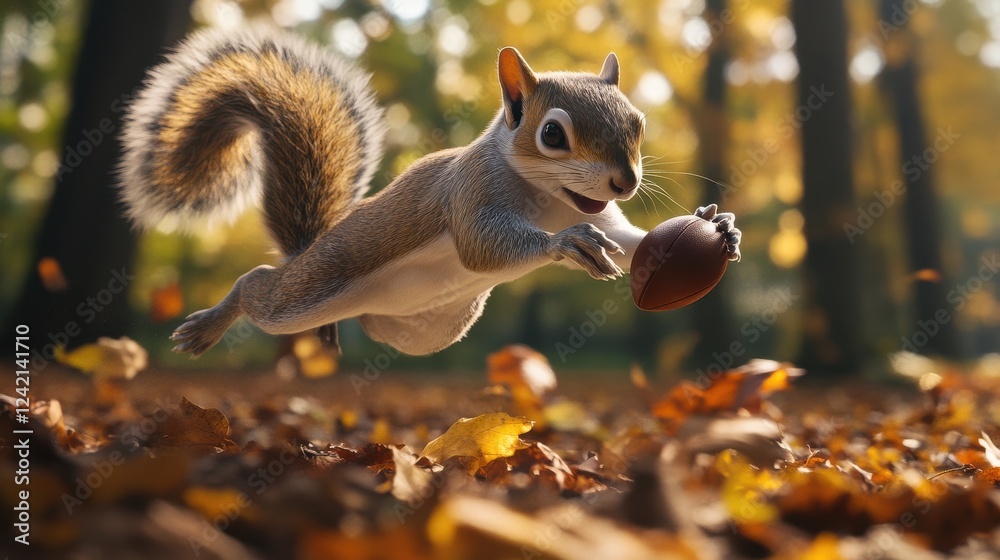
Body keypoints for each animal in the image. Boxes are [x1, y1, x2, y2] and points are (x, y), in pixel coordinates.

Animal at [119, 26, 742, 358]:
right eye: (552, 134)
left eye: (638, 122)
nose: (625, 181)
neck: (549, 200)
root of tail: (308, 249)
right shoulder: (470, 194)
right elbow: (481, 244)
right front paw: (566, 243)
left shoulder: (609, 216)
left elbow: (633, 241)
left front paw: (719, 227)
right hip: (305, 290)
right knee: (256, 289)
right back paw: (209, 325)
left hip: (426, 330)